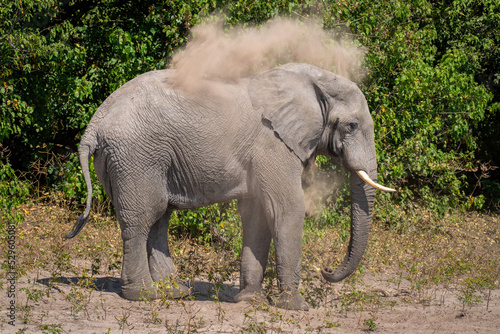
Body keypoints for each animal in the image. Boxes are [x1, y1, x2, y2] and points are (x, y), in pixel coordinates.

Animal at [66, 62, 394, 310]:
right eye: (351, 126)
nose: (326, 271)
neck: (311, 80)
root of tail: (95, 123)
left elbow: (258, 215)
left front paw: (248, 300)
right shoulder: (273, 144)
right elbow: (287, 209)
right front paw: (297, 308)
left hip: (135, 159)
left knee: (159, 217)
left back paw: (176, 291)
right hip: (135, 155)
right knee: (144, 217)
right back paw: (144, 296)